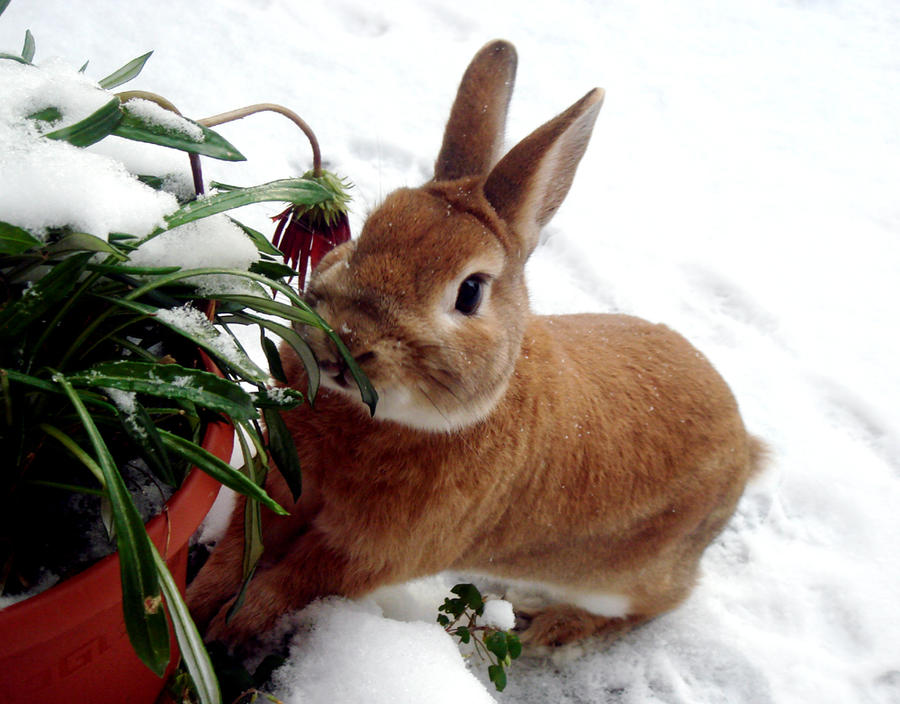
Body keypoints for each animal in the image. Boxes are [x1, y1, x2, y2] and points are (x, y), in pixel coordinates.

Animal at [186, 41, 764, 652]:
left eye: (470, 292)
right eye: (367, 234)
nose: (348, 338)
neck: (376, 420)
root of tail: (745, 447)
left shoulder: (369, 551)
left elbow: (288, 584)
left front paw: (226, 630)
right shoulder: (284, 481)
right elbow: (239, 550)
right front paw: (194, 610)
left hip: (621, 578)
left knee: (648, 607)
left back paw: (545, 626)